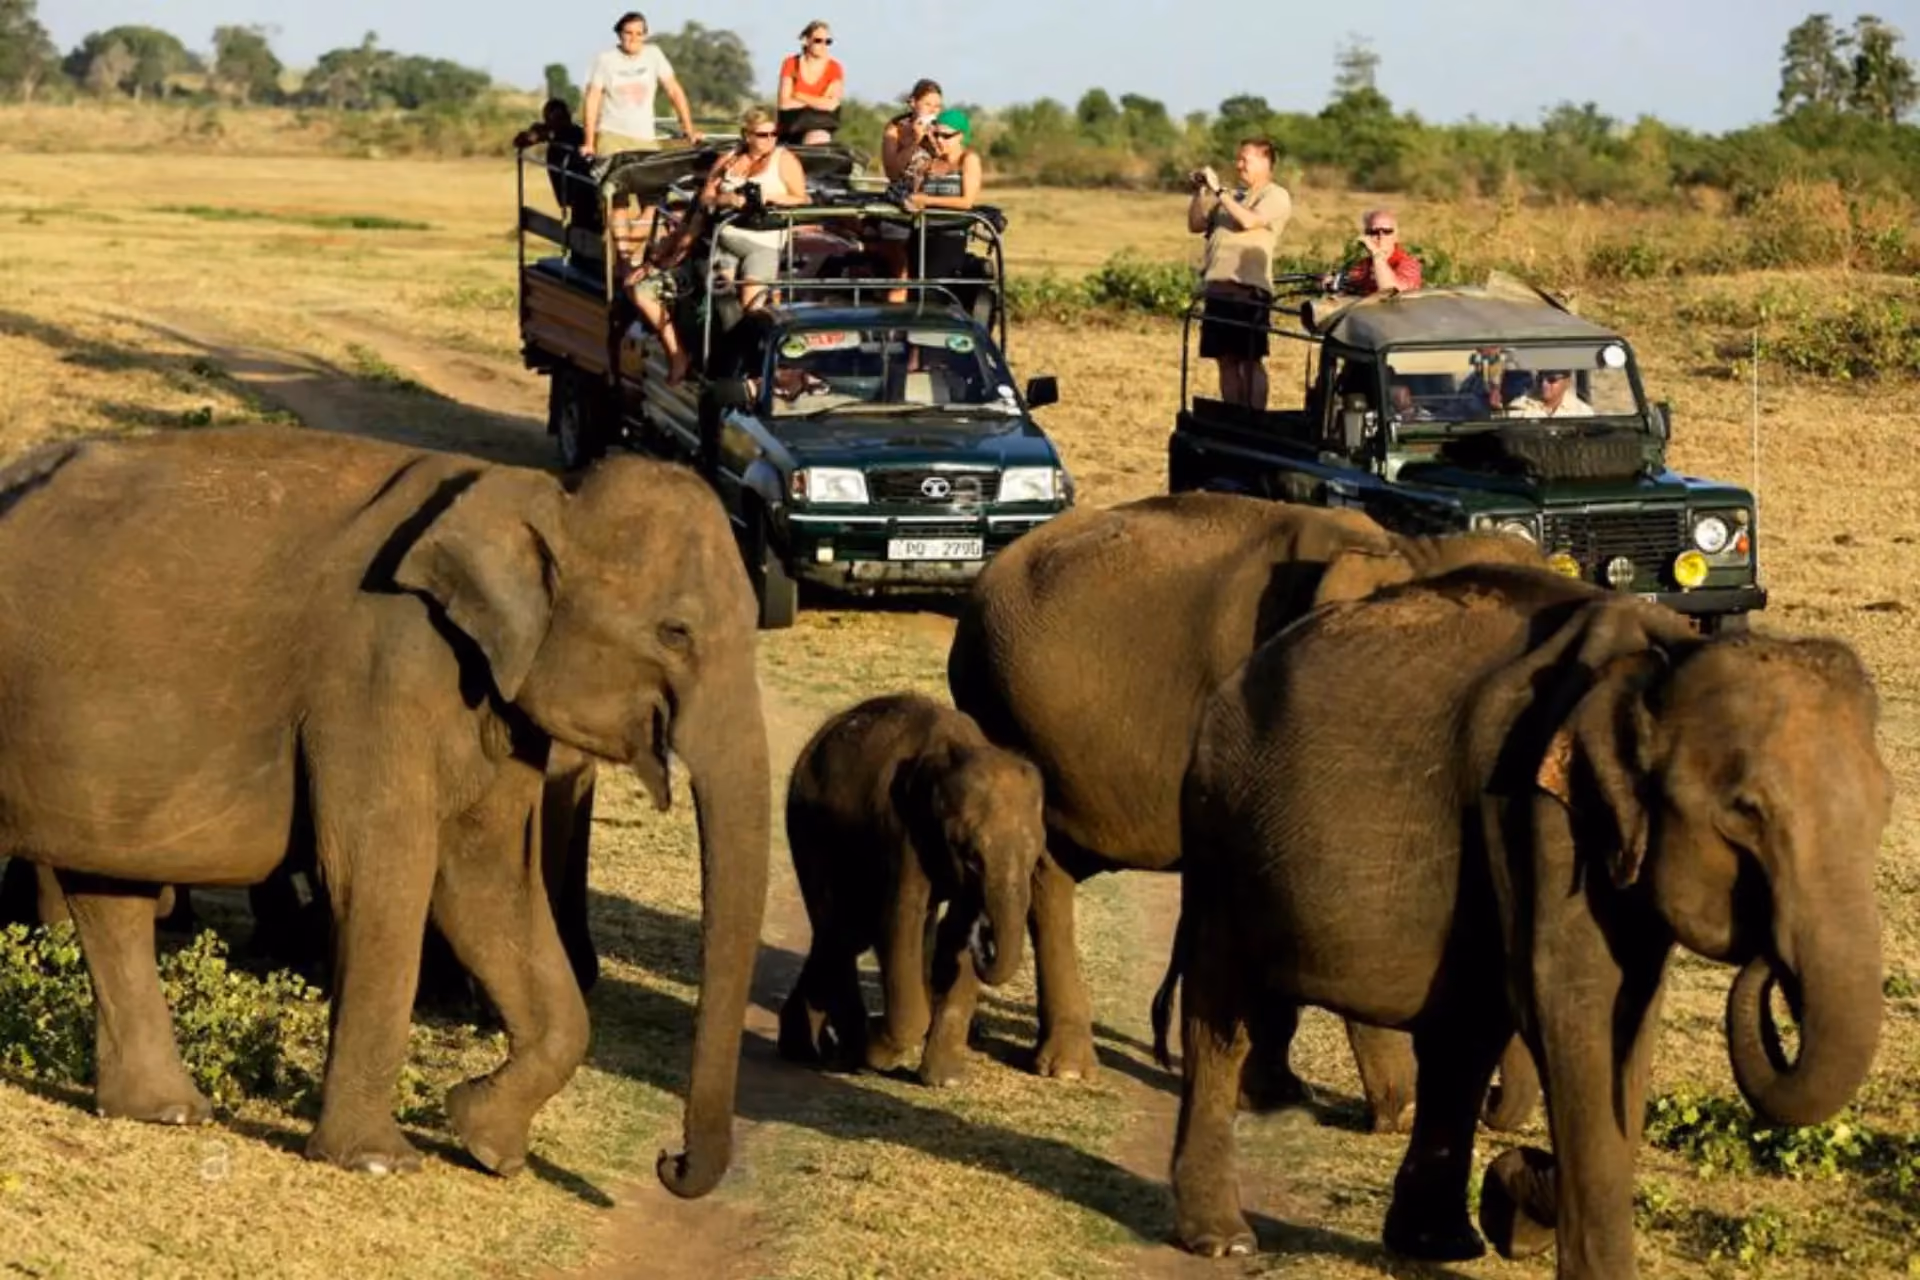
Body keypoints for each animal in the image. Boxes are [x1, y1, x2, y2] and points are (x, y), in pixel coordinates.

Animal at [0, 425, 769, 1198]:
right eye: (676, 631)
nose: (669, 1163)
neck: (542, 490)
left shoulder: (493, 705)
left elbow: (487, 883)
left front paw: (486, 1141)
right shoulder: (379, 674)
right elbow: (379, 874)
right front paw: (378, 1160)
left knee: (110, 893)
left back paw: (166, 1111)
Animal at [778, 693, 1046, 1087]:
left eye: (1036, 857)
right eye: (971, 857)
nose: (984, 937)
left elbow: (943, 934)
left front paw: (946, 1081)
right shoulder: (901, 832)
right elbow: (900, 920)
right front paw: (878, 1052)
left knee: (847, 934)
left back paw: (808, 1047)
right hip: (808, 825)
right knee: (841, 929)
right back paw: (844, 1050)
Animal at [947, 490, 1544, 1127]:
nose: (1492, 1107)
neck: (1408, 548)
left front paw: (1282, 1091)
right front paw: (1392, 1110)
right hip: (1001, 713)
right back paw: (1069, 1068)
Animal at [1159, 563, 1889, 1277]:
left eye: (1883, 806)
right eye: (1745, 812)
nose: (1769, 962)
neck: (1662, 657)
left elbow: (1625, 1022)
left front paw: (1516, 1197)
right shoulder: (1533, 809)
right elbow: (1572, 1010)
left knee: (1460, 1034)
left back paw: (1438, 1242)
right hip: (1217, 832)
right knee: (1220, 1013)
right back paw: (1223, 1239)